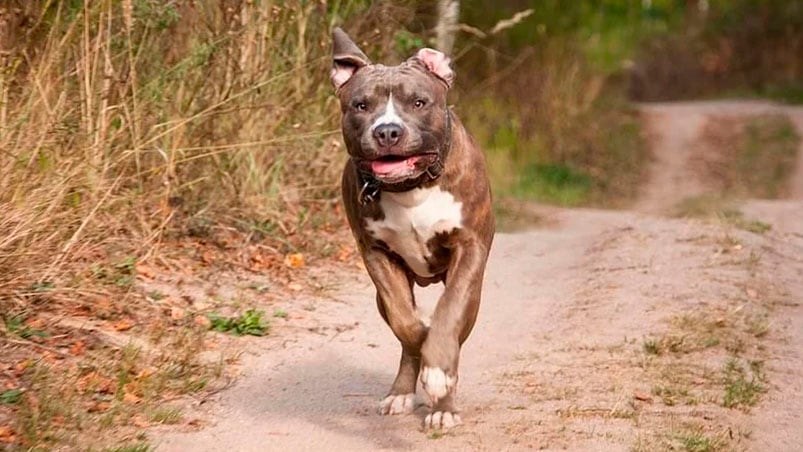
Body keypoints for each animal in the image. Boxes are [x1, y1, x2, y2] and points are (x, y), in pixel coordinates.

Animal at [328, 28, 494, 430]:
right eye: (361, 105)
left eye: (419, 102)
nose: (387, 131)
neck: (411, 188)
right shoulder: (376, 254)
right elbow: (406, 323)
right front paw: (422, 341)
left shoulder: (469, 249)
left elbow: (449, 314)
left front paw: (439, 373)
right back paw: (403, 391)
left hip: (475, 292)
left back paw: (443, 405)